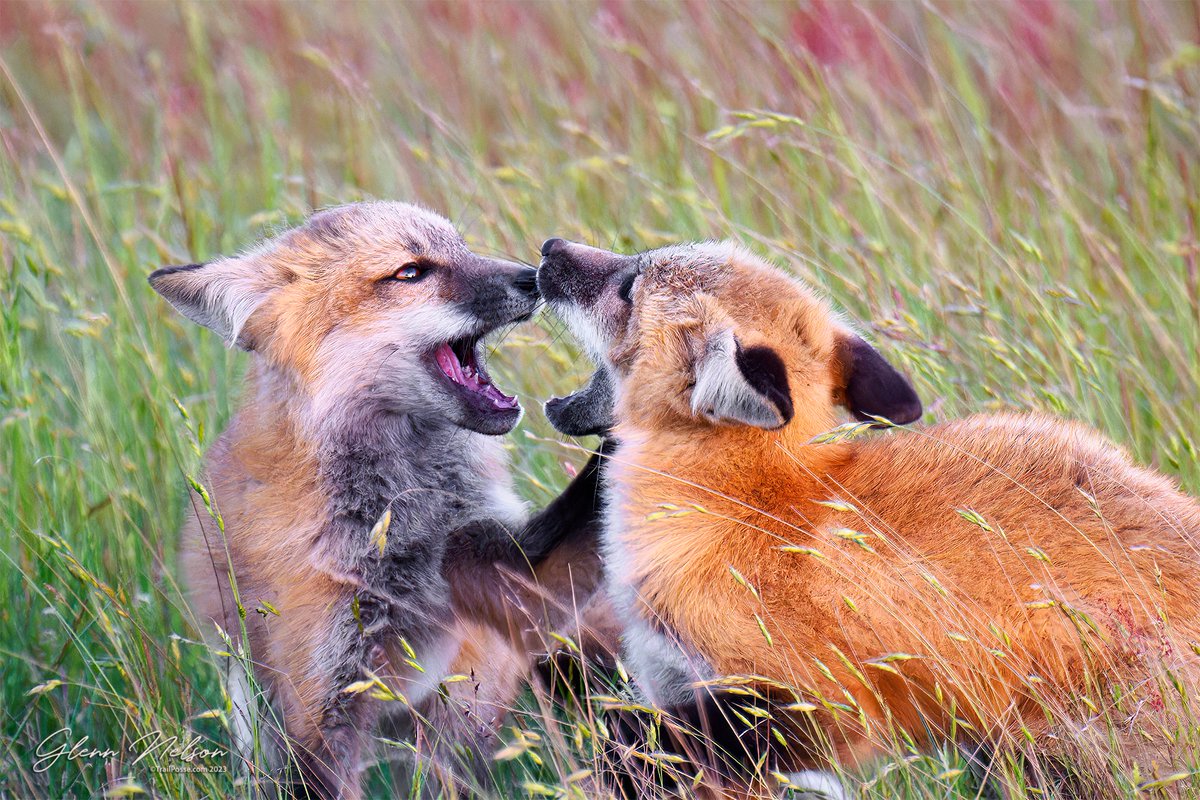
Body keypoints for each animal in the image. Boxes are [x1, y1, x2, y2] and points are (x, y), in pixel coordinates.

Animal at [147, 203, 609, 796]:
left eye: (462, 248)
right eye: (410, 272)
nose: (533, 275)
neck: (403, 522)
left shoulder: (509, 576)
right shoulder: (324, 702)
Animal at [542, 239, 1200, 800]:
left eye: (629, 285)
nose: (549, 251)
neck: (752, 506)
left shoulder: (813, 704)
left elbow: (630, 746)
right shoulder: (680, 684)